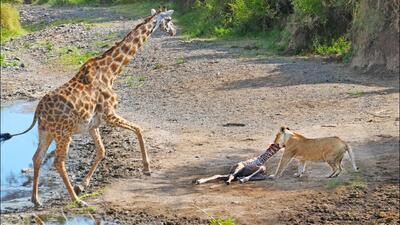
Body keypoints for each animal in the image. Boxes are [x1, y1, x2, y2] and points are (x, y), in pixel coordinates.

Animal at [0, 8, 175, 207]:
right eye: (169, 19)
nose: (173, 31)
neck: (111, 72)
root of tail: (38, 110)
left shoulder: (93, 124)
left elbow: (101, 151)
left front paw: (81, 186)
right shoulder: (109, 114)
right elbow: (138, 129)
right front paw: (147, 168)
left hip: (46, 131)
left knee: (37, 157)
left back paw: (37, 200)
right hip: (63, 133)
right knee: (58, 162)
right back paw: (77, 201)